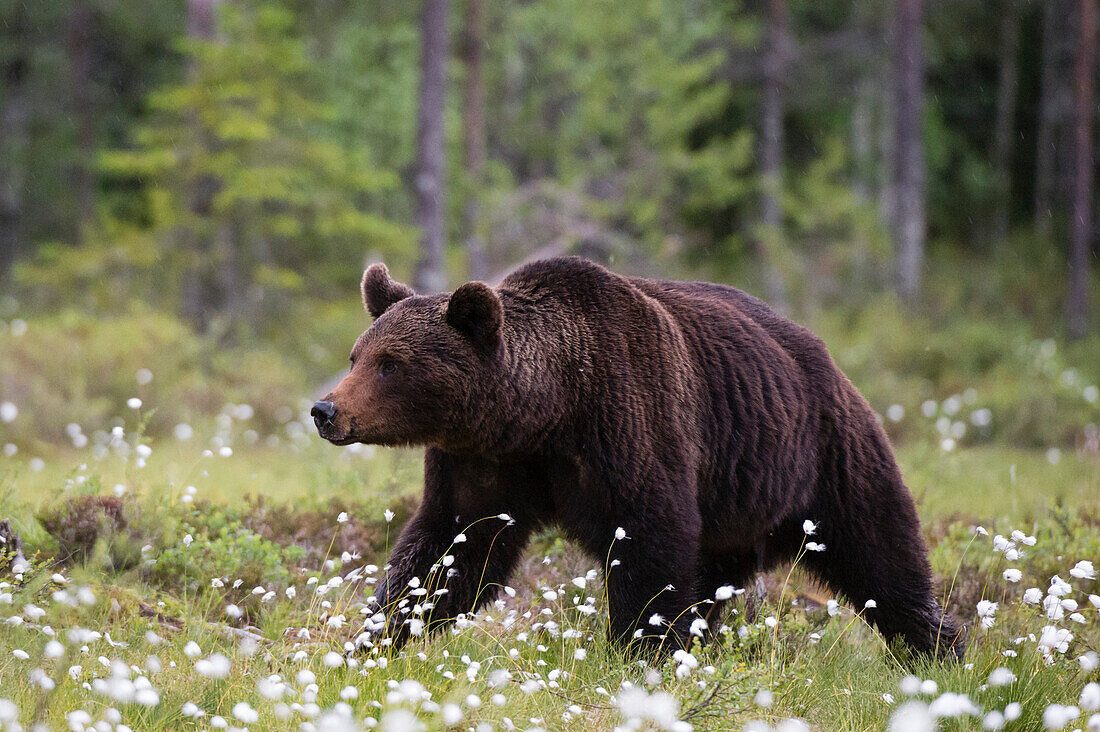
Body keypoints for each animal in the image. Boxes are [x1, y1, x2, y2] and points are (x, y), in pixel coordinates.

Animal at [316, 255, 963, 656]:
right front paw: (377, 638)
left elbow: (649, 542)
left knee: (880, 555)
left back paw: (937, 649)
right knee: (714, 579)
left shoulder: (627, 425)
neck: (545, 412)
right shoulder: (485, 464)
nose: (326, 409)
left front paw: (639, 650)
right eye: (357, 355)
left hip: (823, 457)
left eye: (390, 364)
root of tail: (826, 356)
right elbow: (451, 550)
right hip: (733, 511)